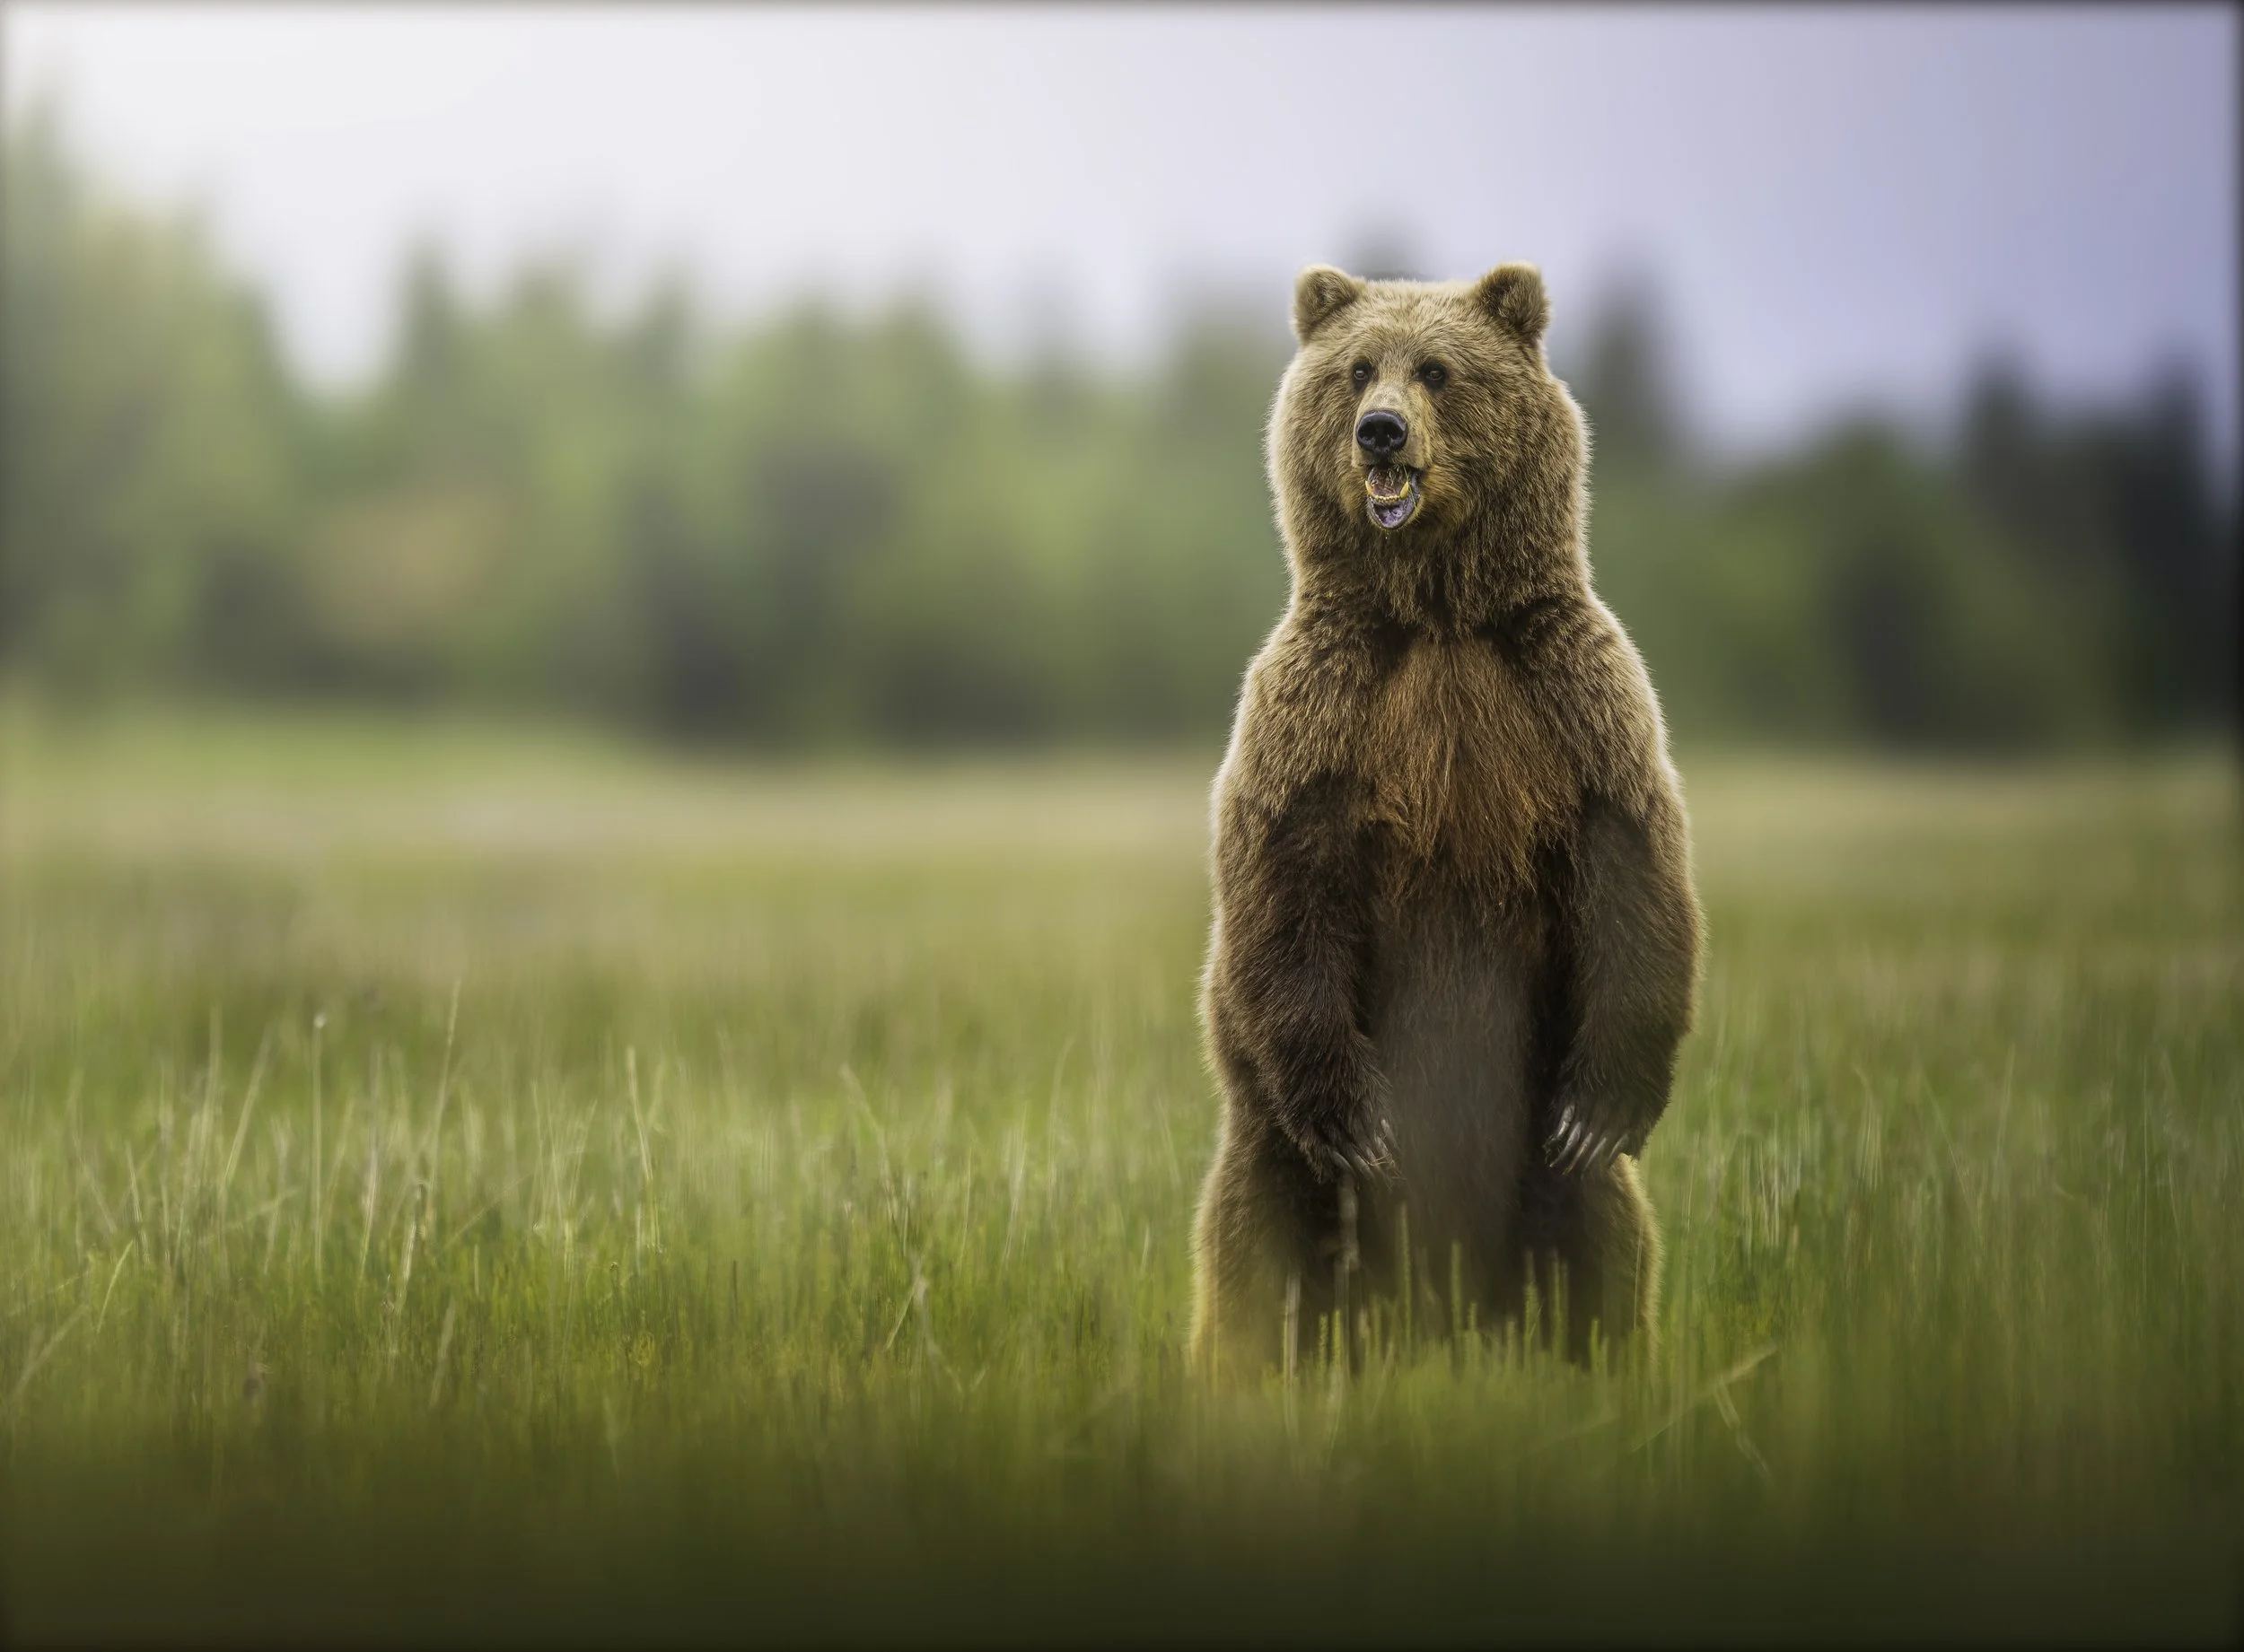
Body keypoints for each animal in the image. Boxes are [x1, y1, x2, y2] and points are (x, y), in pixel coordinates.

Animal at [1189, 262, 1701, 1383]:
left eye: (1435, 368)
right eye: (1354, 369)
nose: (1379, 432)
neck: (1436, 615)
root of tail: (1442, 1308)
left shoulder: (1571, 699)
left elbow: (1634, 874)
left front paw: (1601, 1109)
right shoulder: (1320, 715)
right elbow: (1282, 896)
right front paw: (1366, 1119)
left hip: (1541, 1179)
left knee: (1606, 1246)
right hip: (1276, 1162)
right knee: (1252, 1256)